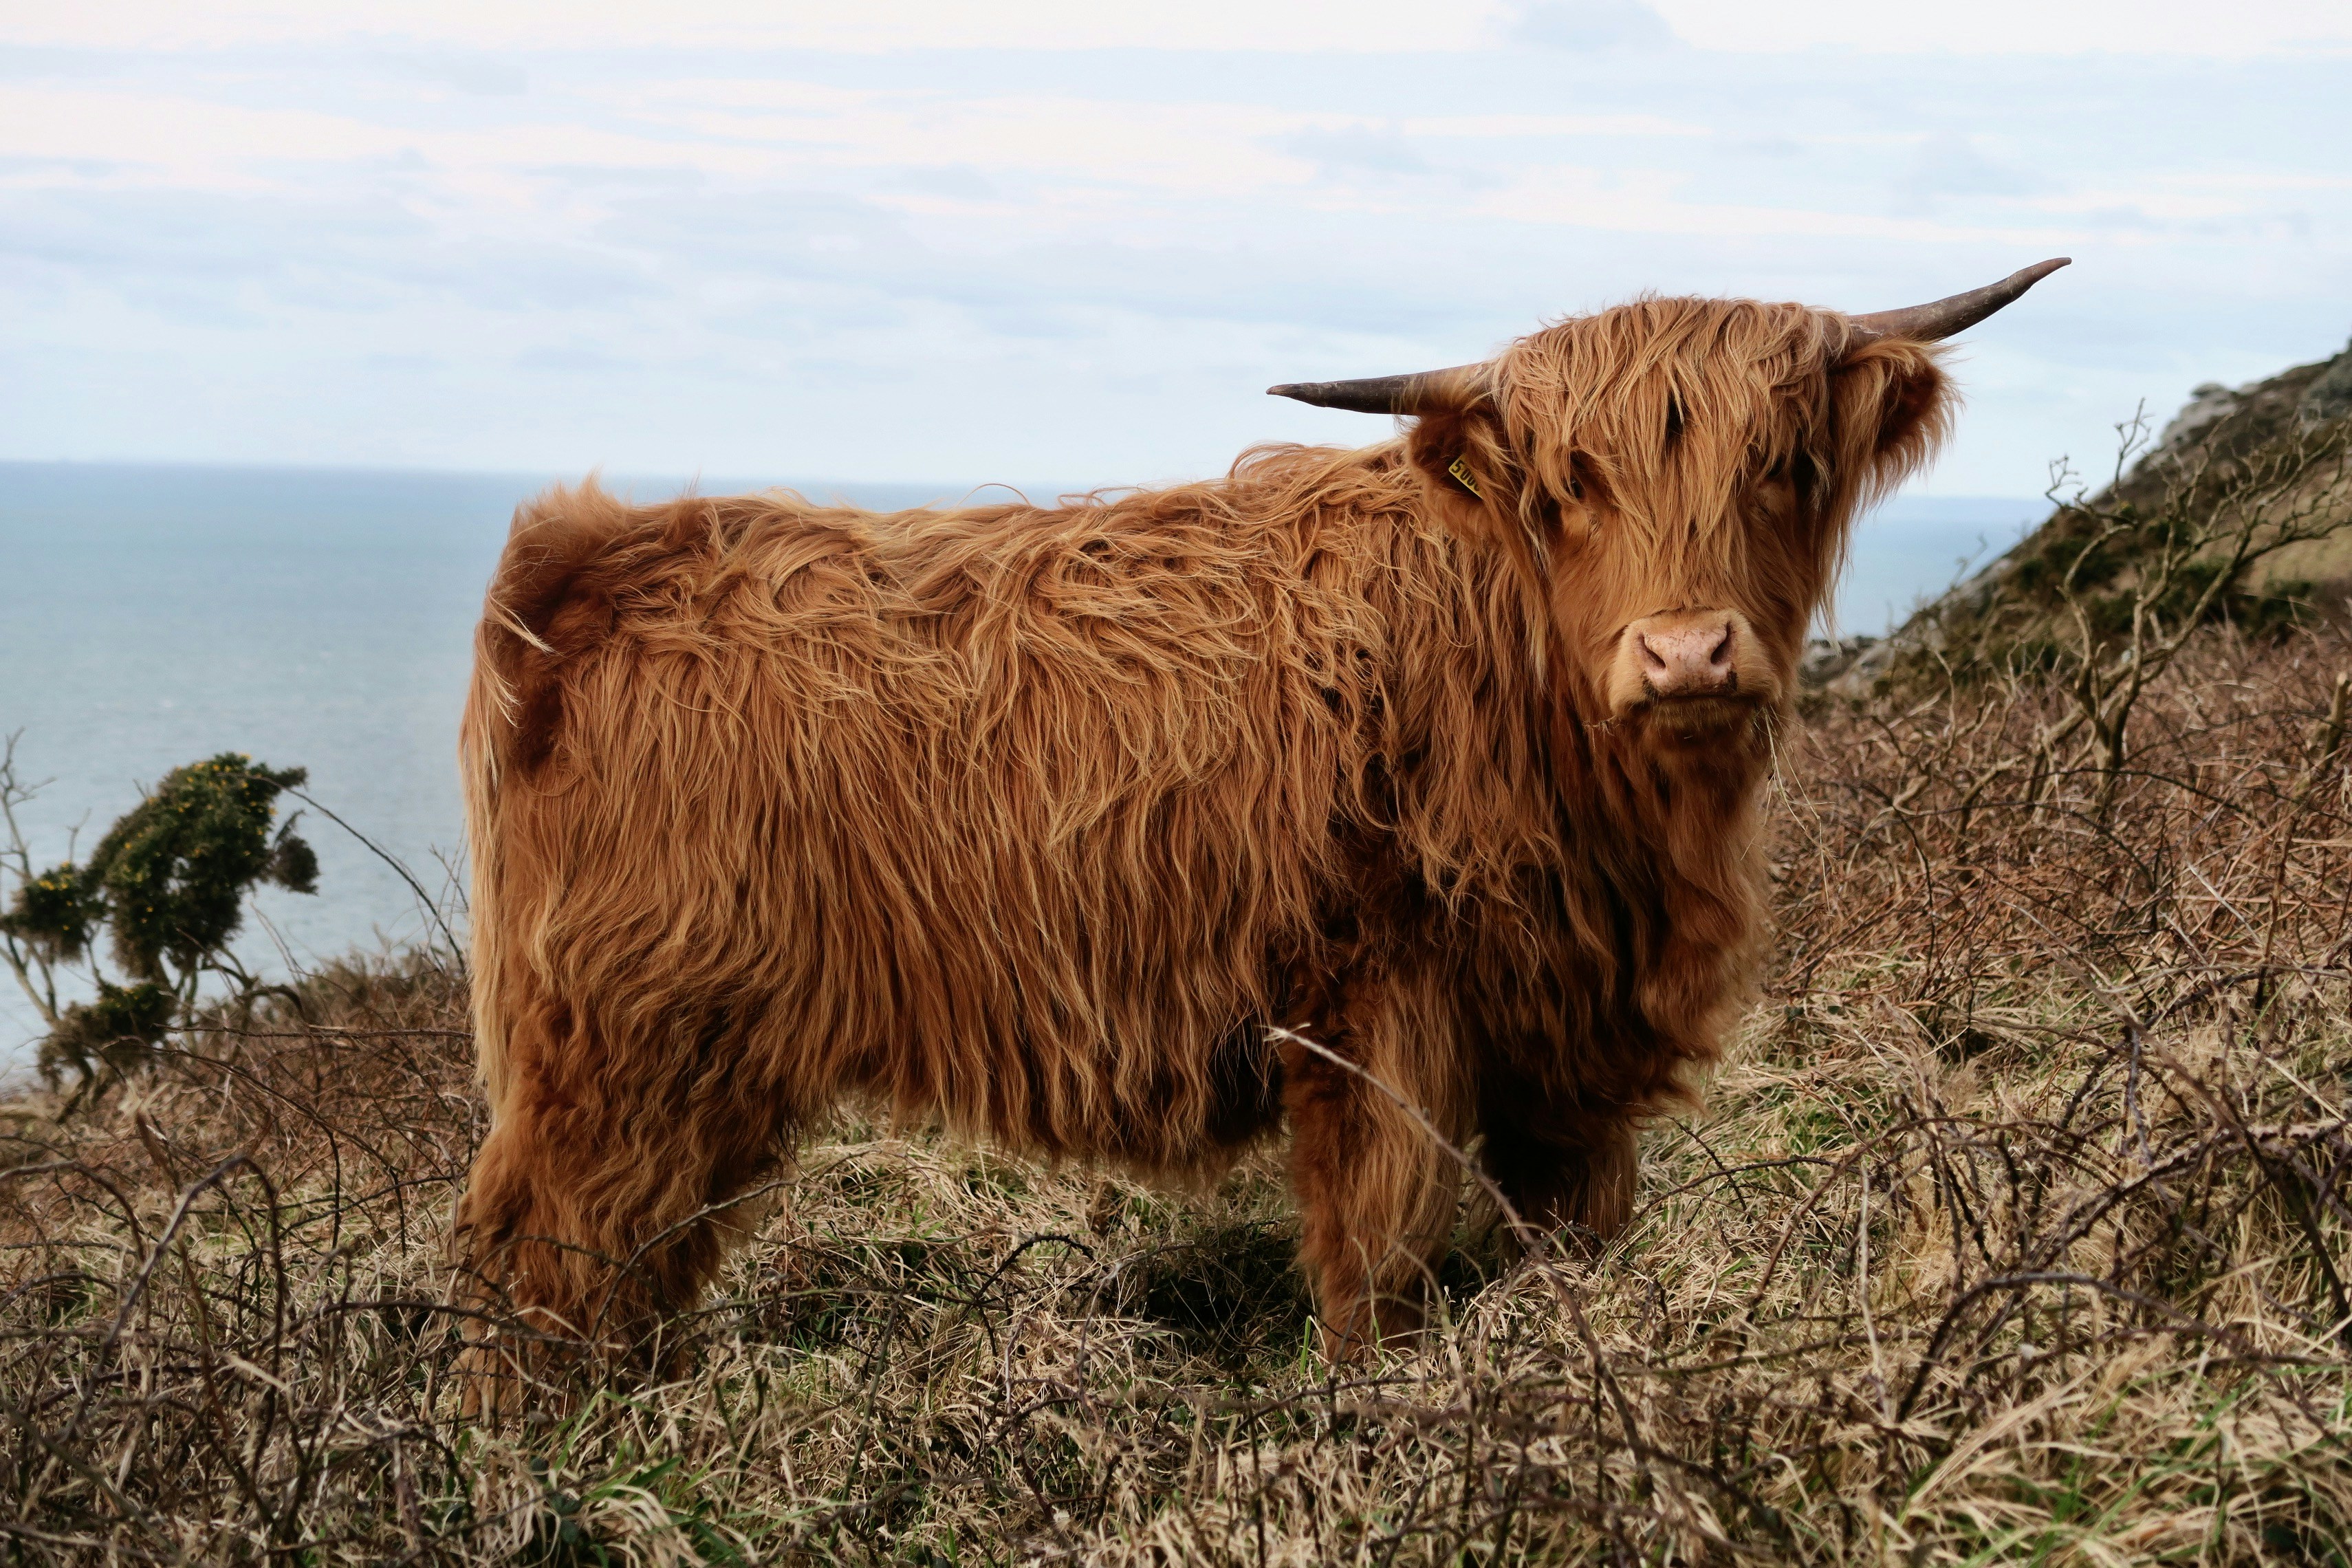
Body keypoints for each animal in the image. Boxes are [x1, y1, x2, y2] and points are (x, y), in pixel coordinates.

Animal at [451, 261, 2068, 1400]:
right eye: (1569, 487)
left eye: (1784, 466)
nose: (1685, 655)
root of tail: (595, 557)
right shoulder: (1375, 1006)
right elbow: (1382, 1252)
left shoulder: (1568, 1042)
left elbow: (1571, 1234)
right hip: (625, 1045)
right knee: (545, 1258)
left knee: (633, 1270)